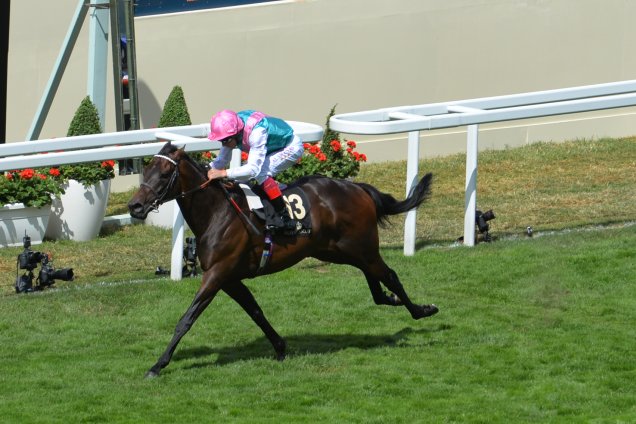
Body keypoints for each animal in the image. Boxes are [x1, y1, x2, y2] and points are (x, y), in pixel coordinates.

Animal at [128, 142, 438, 378]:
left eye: (164, 173)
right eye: (145, 170)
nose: (135, 206)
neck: (218, 212)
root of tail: (359, 189)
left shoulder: (217, 273)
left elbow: (187, 319)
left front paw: (157, 365)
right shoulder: (230, 278)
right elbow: (255, 311)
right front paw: (280, 347)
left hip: (360, 248)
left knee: (390, 276)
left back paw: (423, 310)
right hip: (339, 250)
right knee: (376, 284)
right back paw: (393, 299)